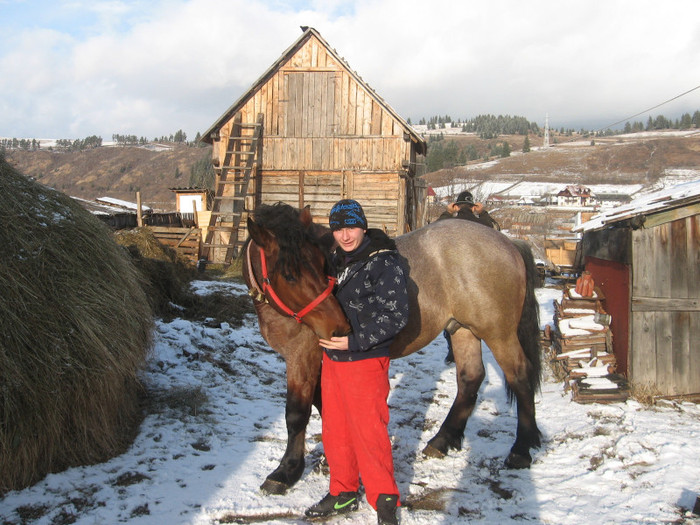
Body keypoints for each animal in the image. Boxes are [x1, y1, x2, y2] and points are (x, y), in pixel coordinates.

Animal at [243, 203, 544, 494]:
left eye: (321, 265)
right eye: (289, 276)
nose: (339, 328)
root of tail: (508, 242)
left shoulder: (302, 356)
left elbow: (297, 413)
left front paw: (287, 471)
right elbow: (324, 406)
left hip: (499, 334)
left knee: (520, 376)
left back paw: (521, 450)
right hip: (462, 330)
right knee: (471, 378)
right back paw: (443, 439)